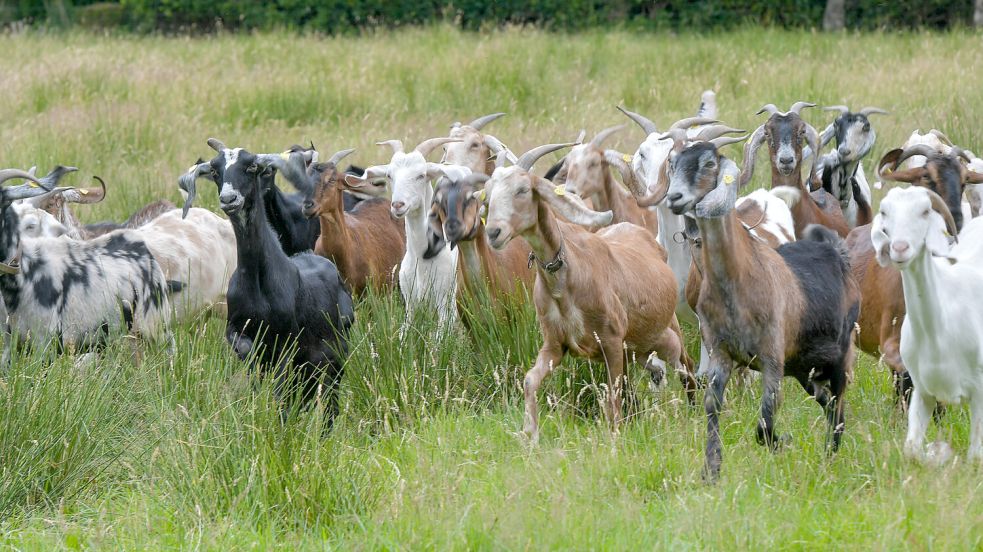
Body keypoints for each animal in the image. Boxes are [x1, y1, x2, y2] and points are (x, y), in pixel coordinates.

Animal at [179, 139, 354, 416]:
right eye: (216, 171)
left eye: (252, 167)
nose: (229, 199)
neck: (260, 282)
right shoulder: (237, 326)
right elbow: (248, 354)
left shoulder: (287, 342)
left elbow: (281, 389)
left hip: (336, 353)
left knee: (329, 401)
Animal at [344, 137, 464, 330]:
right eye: (389, 175)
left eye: (421, 175)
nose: (398, 205)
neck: (423, 257)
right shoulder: (410, 303)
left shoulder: (445, 305)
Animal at [483, 142, 696, 442]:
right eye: (488, 194)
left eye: (522, 190)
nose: (493, 232)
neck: (566, 279)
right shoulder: (555, 344)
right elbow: (529, 380)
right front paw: (531, 435)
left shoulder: (611, 341)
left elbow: (614, 395)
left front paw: (615, 437)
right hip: (639, 347)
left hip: (669, 333)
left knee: (687, 368)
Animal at [664, 135, 859, 481]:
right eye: (672, 163)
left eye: (709, 163)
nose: (675, 196)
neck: (738, 280)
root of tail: (834, 250)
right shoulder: (721, 352)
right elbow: (713, 405)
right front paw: (712, 469)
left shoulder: (771, 358)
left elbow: (765, 422)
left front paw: (783, 442)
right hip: (803, 365)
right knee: (825, 400)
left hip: (839, 354)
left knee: (838, 408)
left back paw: (830, 458)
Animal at [871, 186, 983, 464]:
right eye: (884, 212)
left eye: (924, 211)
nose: (900, 248)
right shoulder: (922, 391)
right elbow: (912, 449)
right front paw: (937, 452)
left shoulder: (980, 390)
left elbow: (975, 454)